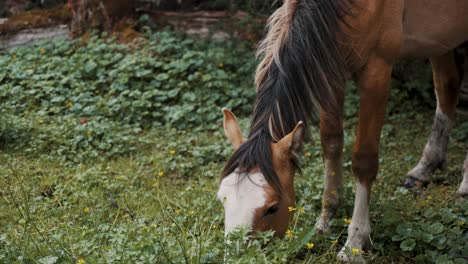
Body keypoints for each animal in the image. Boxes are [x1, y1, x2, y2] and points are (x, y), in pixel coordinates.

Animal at [218, 0, 468, 262]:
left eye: (272, 207)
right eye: (222, 199)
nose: (237, 258)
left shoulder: (376, 71)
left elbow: (364, 160)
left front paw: (354, 242)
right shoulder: (330, 68)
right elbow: (331, 142)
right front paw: (325, 221)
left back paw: (464, 186)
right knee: (447, 86)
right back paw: (425, 168)